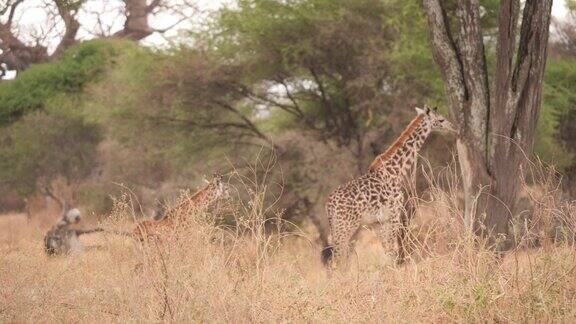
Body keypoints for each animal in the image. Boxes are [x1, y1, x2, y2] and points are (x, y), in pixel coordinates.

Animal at [324, 105, 454, 268]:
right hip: (346, 226)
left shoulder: (379, 222)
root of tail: (329, 203)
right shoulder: (393, 215)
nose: (452, 127)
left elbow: (388, 251)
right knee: (337, 259)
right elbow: (392, 252)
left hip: (338, 226)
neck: (396, 170)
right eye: (441, 119)